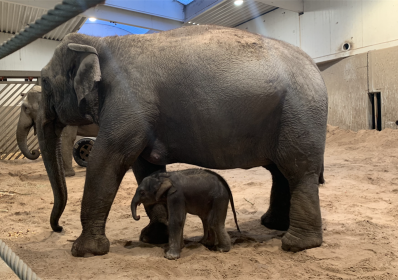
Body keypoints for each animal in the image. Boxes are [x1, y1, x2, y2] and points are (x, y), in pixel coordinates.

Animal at [34, 25, 326, 258]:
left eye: (44, 82)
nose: (59, 228)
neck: (99, 40)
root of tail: (315, 67)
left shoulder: (128, 103)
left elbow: (107, 160)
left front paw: (84, 251)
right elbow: (145, 166)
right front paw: (153, 237)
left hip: (300, 114)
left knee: (298, 170)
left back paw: (296, 244)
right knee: (280, 172)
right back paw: (273, 225)